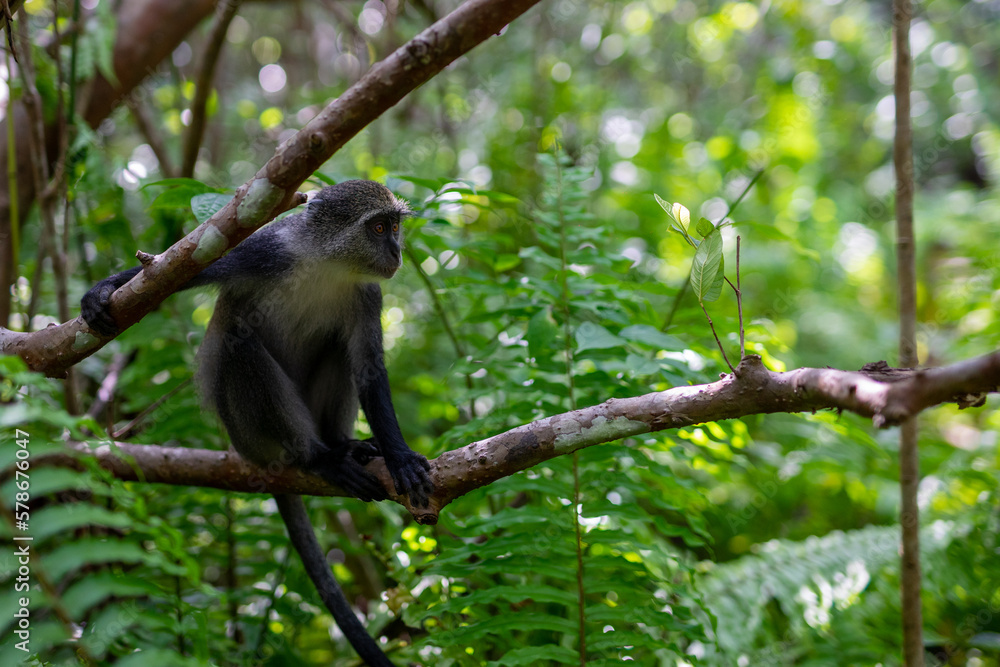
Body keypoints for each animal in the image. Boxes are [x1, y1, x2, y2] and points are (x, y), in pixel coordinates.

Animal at [81, 180, 433, 667]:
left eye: (395, 228)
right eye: (379, 227)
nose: (396, 253)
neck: (328, 265)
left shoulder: (367, 295)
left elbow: (369, 370)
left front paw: (398, 457)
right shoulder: (264, 253)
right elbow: (176, 275)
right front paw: (99, 293)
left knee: (336, 350)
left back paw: (343, 446)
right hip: (251, 435)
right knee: (239, 344)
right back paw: (318, 459)